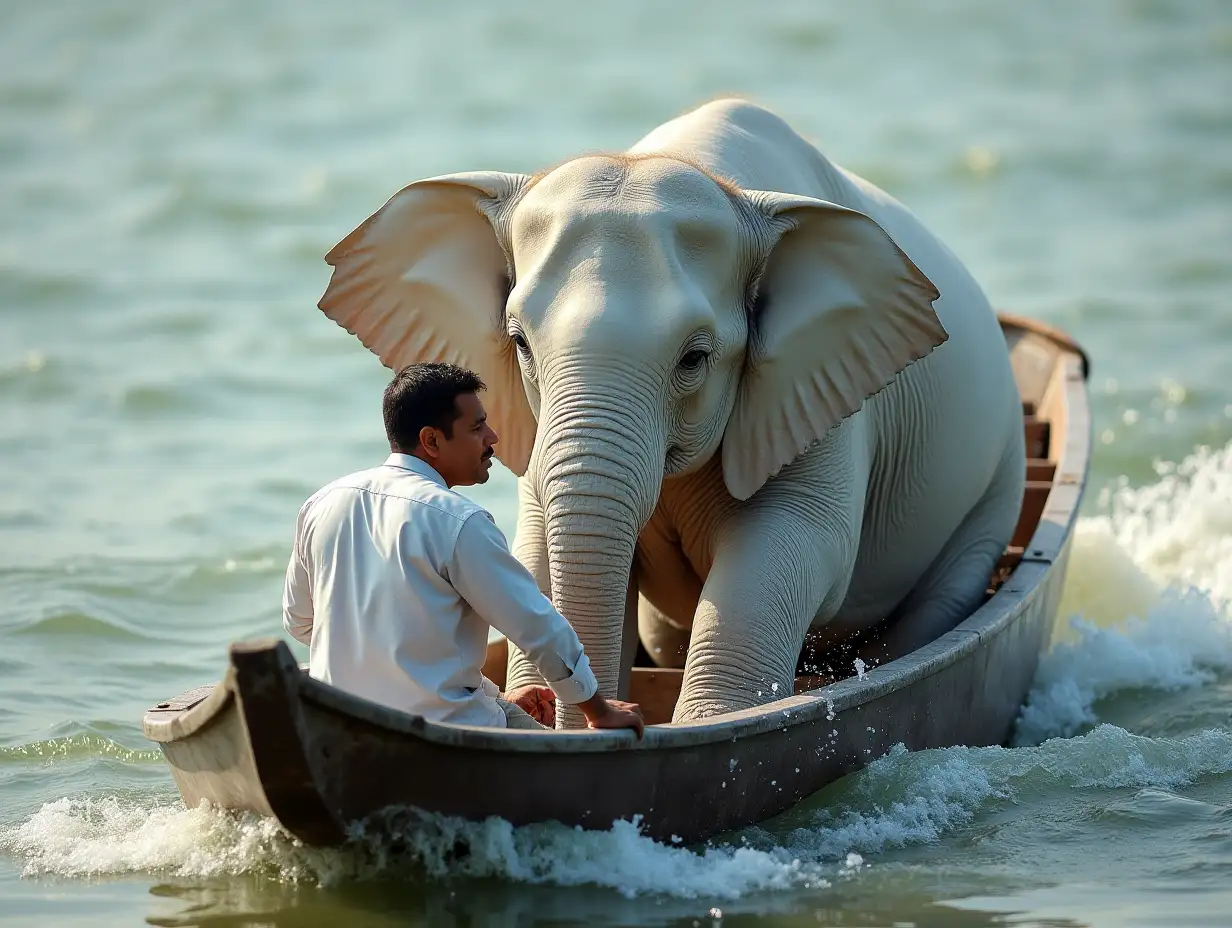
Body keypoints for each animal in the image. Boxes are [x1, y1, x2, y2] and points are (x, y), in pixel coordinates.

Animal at [315, 99, 1020, 724]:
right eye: (519, 344)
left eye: (694, 358)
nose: (604, 718)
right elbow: (534, 546)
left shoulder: (825, 391)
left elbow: (793, 544)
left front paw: (708, 722)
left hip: (995, 484)